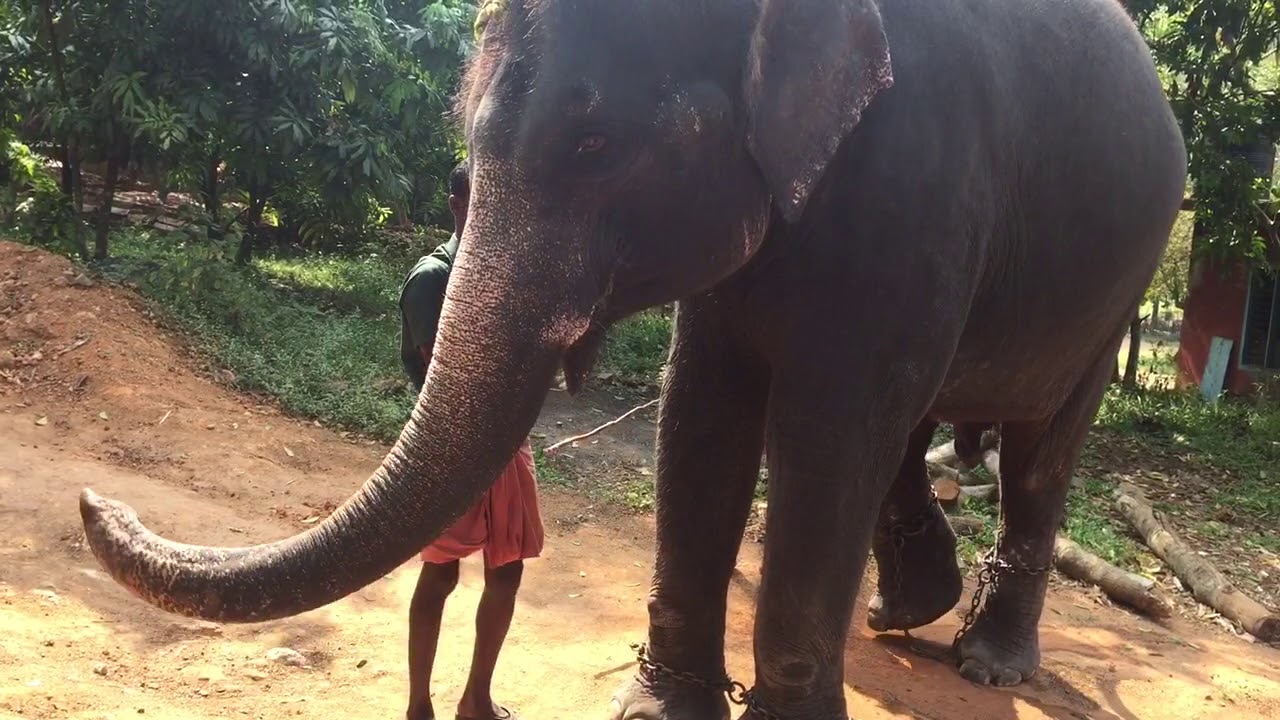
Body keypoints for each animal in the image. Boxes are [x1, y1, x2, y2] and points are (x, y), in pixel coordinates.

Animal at [77, 0, 1187, 718]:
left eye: (595, 146)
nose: (92, 497)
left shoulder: (921, 179)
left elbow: (827, 431)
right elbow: (700, 412)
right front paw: (657, 714)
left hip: (1121, 279)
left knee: (1039, 451)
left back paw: (989, 665)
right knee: (916, 433)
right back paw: (901, 610)